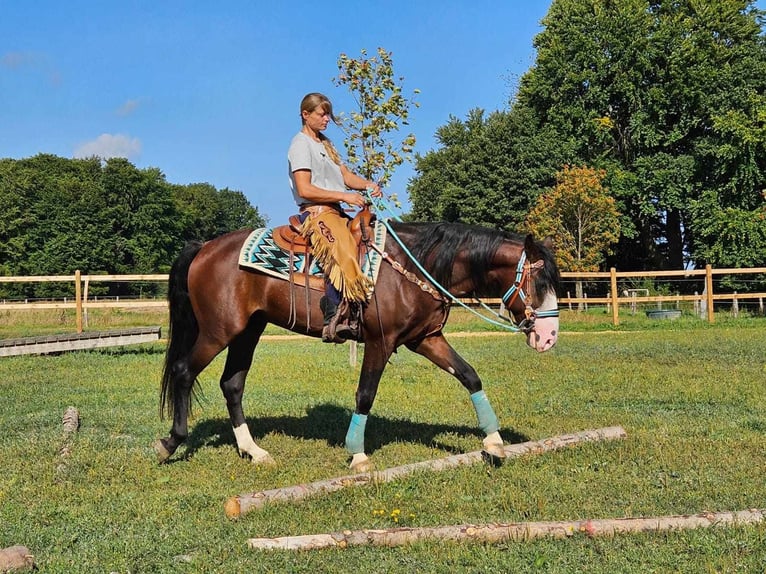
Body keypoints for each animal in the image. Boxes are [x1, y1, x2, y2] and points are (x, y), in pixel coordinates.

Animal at [158, 214, 564, 474]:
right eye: (539, 281)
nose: (549, 337)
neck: (416, 266)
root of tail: (205, 247)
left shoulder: (426, 338)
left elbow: (469, 375)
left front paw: (493, 440)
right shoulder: (379, 342)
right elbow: (365, 394)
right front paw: (357, 455)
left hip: (248, 330)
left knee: (232, 384)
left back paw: (253, 451)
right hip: (218, 331)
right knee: (183, 371)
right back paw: (170, 443)